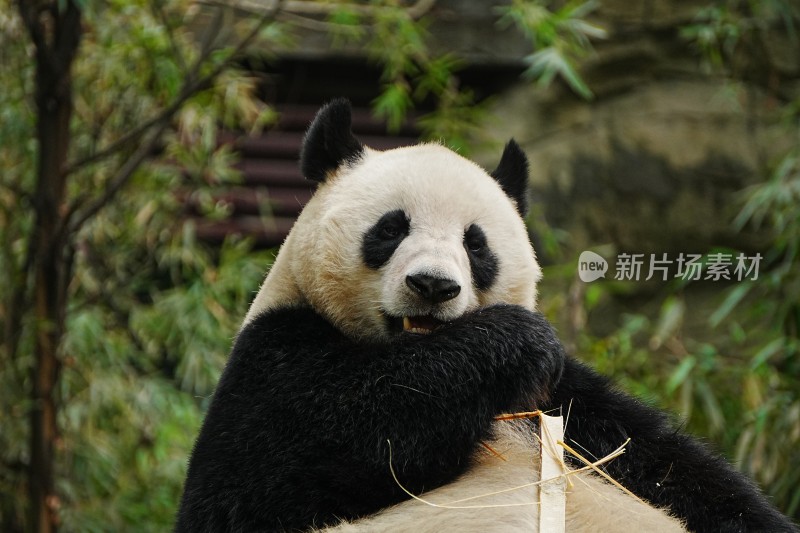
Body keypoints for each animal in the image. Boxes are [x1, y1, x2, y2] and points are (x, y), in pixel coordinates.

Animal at [175, 100, 792, 532]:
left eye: (476, 244)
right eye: (390, 228)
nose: (432, 285)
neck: (411, 349)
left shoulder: (576, 406)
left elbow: (679, 471)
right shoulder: (275, 357)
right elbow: (276, 469)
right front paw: (512, 341)